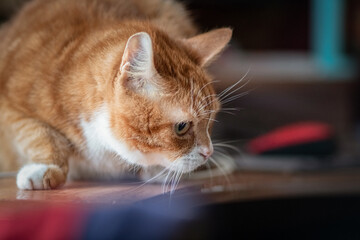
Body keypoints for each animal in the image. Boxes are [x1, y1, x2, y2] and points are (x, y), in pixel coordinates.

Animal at [0, 0, 231, 190]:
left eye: (211, 119)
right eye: (182, 127)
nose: (209, 152)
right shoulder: (10, 109)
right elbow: (40, 134)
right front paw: (45, 168)